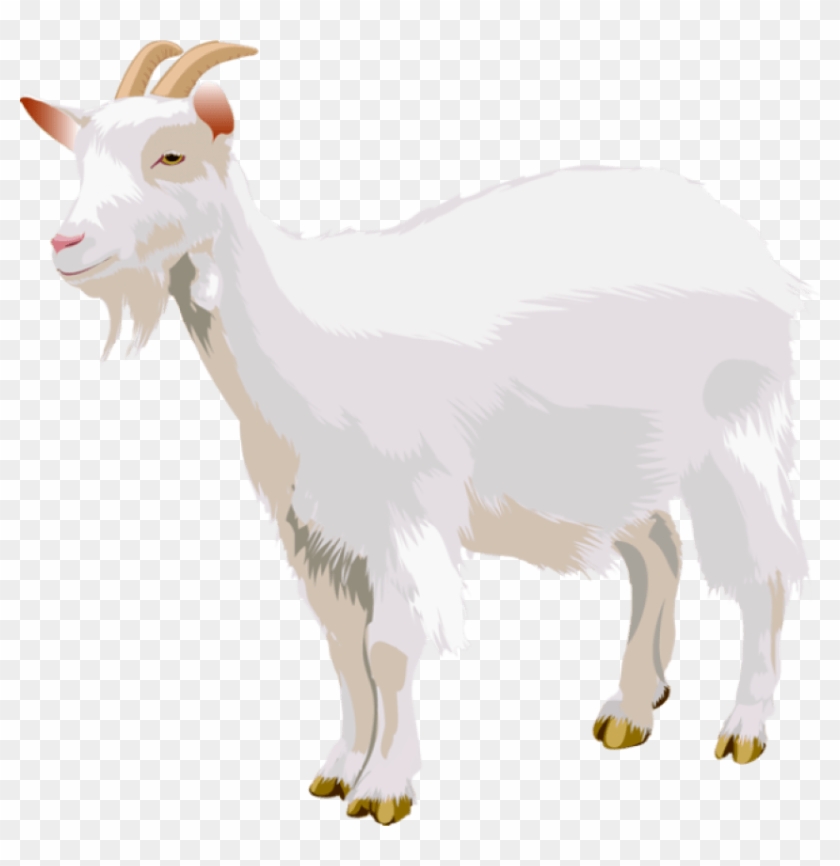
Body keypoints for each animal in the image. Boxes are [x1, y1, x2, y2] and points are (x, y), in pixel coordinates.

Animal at [21, 41, 810, 825]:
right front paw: (339, 769)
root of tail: (744, 239)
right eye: (80, 158)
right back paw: (633, 708)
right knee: (658, 548)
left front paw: (383, 789)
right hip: (608, 460)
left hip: (740, 429)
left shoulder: (402, 513)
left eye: (172, 155)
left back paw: (744, 727)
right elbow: (345, 650)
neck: (299, 335)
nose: (66, 242)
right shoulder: (311, 531)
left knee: (764, 566)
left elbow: (390, 650)